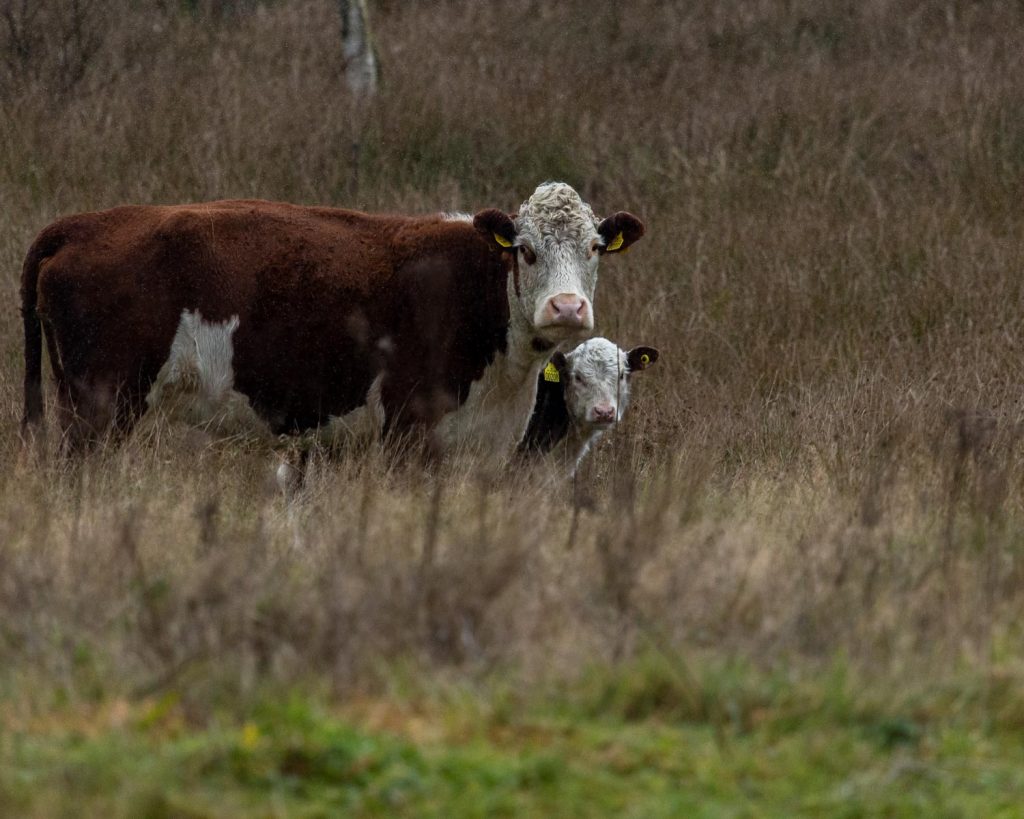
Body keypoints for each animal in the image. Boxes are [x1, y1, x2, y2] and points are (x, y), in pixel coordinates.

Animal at [19, 181, 643, 456]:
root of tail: (84, 224)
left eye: (593, 248)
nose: (567, 307)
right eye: (526, 250)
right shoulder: (407, 429)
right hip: (98, 407)